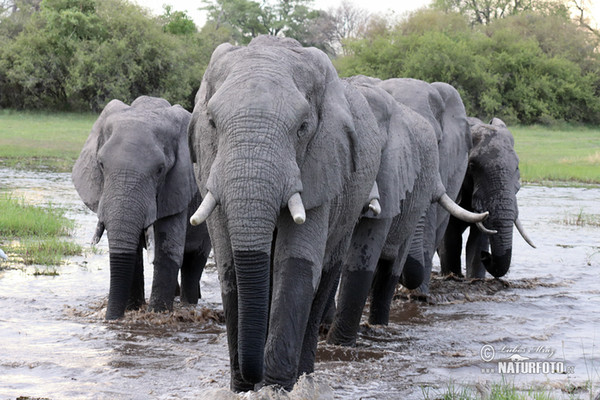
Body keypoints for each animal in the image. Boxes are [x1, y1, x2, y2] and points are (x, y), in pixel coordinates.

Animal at [73, 95, 211, 320]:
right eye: (101, 164)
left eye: (160, 170)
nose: (110, 318)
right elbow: (134, 255)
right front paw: (132, 310)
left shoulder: (178, 187)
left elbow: (166, 251)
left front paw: (158, 314)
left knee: (193, 264)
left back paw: (189, 304)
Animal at [186, 34, 390, 390]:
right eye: (211, 123)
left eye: (303, 127)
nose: (252, 377)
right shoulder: (208, 166)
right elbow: (229, 263)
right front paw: (243, 389)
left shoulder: (322, 166)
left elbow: (295, 265)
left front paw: (276, 388)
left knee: (326, 272)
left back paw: (305, 375)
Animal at [436, 115, 536, 278]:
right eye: (471, 166)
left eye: (517, 167)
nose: (486, 256)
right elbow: (450, 238)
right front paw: (453, 276)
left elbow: (478, 240)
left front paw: (475, 277)